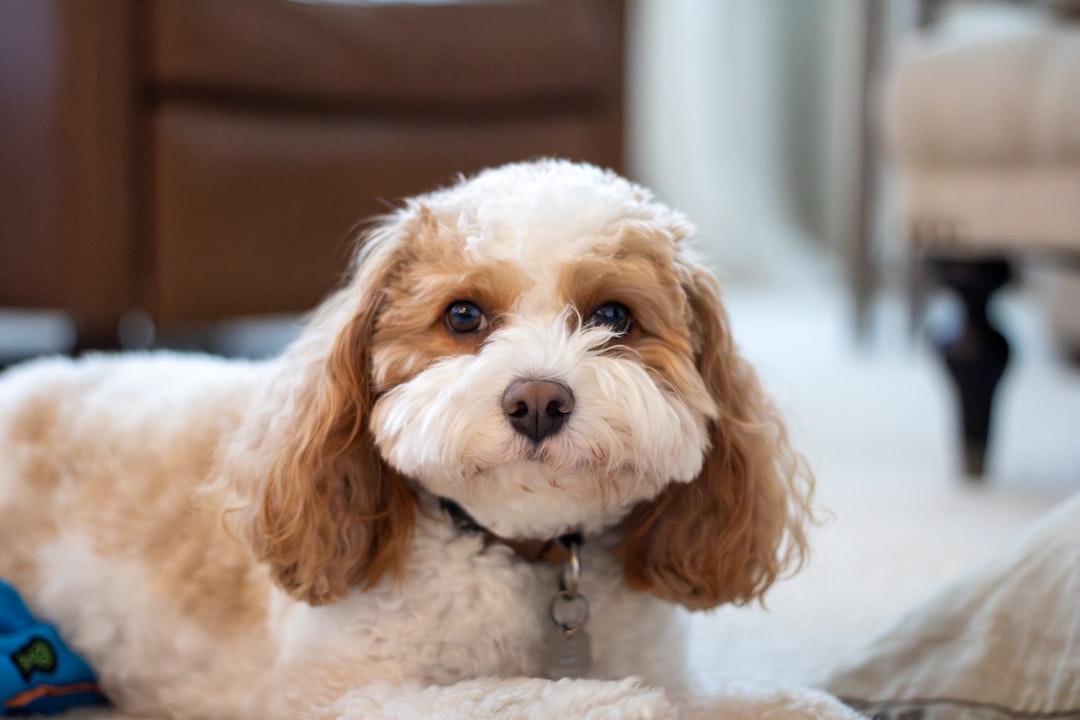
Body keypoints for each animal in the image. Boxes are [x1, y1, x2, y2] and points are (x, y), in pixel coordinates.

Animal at [0, 160, 816, 716]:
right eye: (463, 316)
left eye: (613, 317)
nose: (538, 400)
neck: (521, 554)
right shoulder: (343, 696)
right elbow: (520, 696)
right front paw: (617, 701)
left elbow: (771, 699)